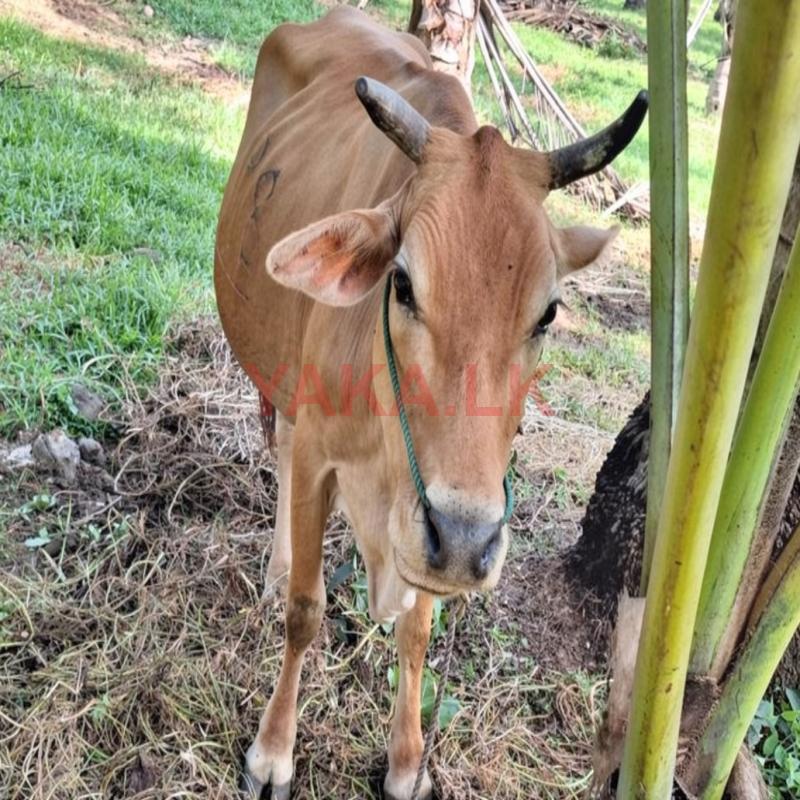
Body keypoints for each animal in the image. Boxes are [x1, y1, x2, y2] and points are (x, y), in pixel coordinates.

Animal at [214, 7, 646, 799]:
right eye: (404, 283)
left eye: (549, 313)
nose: (468, 541)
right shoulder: (324, 455)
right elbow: (305, 610)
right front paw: (271, 754)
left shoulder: (432, 528)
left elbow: (417, 630)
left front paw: (407, 760)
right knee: (280, 447)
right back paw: (277, 568)